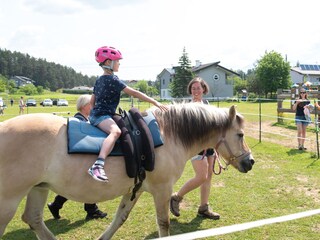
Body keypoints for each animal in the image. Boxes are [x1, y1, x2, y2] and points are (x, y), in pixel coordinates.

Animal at [0, 103, 255, 240]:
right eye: (240, 134)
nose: (250, 161)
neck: (169, 135)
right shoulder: (162, 190)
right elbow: (164, 223)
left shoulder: (136, 189)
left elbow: (120, 218)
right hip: (9, 199)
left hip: (38, 189)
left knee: (33, 218)